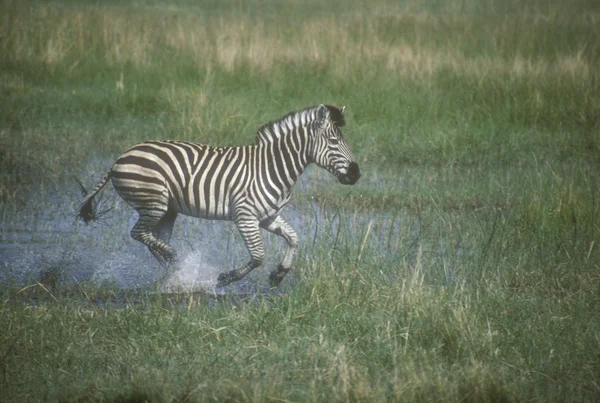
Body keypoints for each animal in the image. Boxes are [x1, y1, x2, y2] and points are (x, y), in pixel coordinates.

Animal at [79, 104, 360, 288]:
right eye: (334, 141)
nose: (356, 174)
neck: (272, 166)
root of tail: (121, 156)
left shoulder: (267, 217)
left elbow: (294, 238)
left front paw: (279, 274)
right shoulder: (244, 216)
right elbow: (258, 256)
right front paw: (226, 278)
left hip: (167, 210)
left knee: (152, 240)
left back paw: (175, 271)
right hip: (153, 202)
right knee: (139, 234)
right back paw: (177, 260)